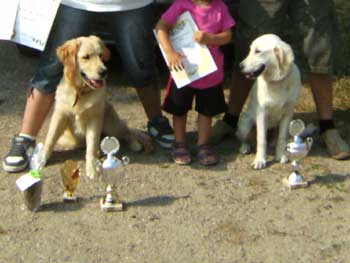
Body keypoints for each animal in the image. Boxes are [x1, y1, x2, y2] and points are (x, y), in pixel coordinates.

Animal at [42, 35, 154, 179]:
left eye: (101, 56)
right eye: (86, 57)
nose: (104, 72)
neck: (80, 92)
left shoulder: (94, 119)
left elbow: (91, 146)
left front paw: (92, 170)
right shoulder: (60, 115)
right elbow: (50, 139)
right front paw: (40, 160)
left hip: (111, 124)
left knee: (126, 133)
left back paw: (135, 144)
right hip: (66, 139)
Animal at [237, 34, 302, 170]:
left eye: (257, 51)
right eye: (250, 50)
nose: (240, 66)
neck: (277, 81)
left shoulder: (288, 114)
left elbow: (281, 138)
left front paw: (280, 155)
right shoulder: (262, 114)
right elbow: (261, 139)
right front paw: (260, 160)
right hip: (245, 123)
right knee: (243, 138)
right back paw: (245, 147)